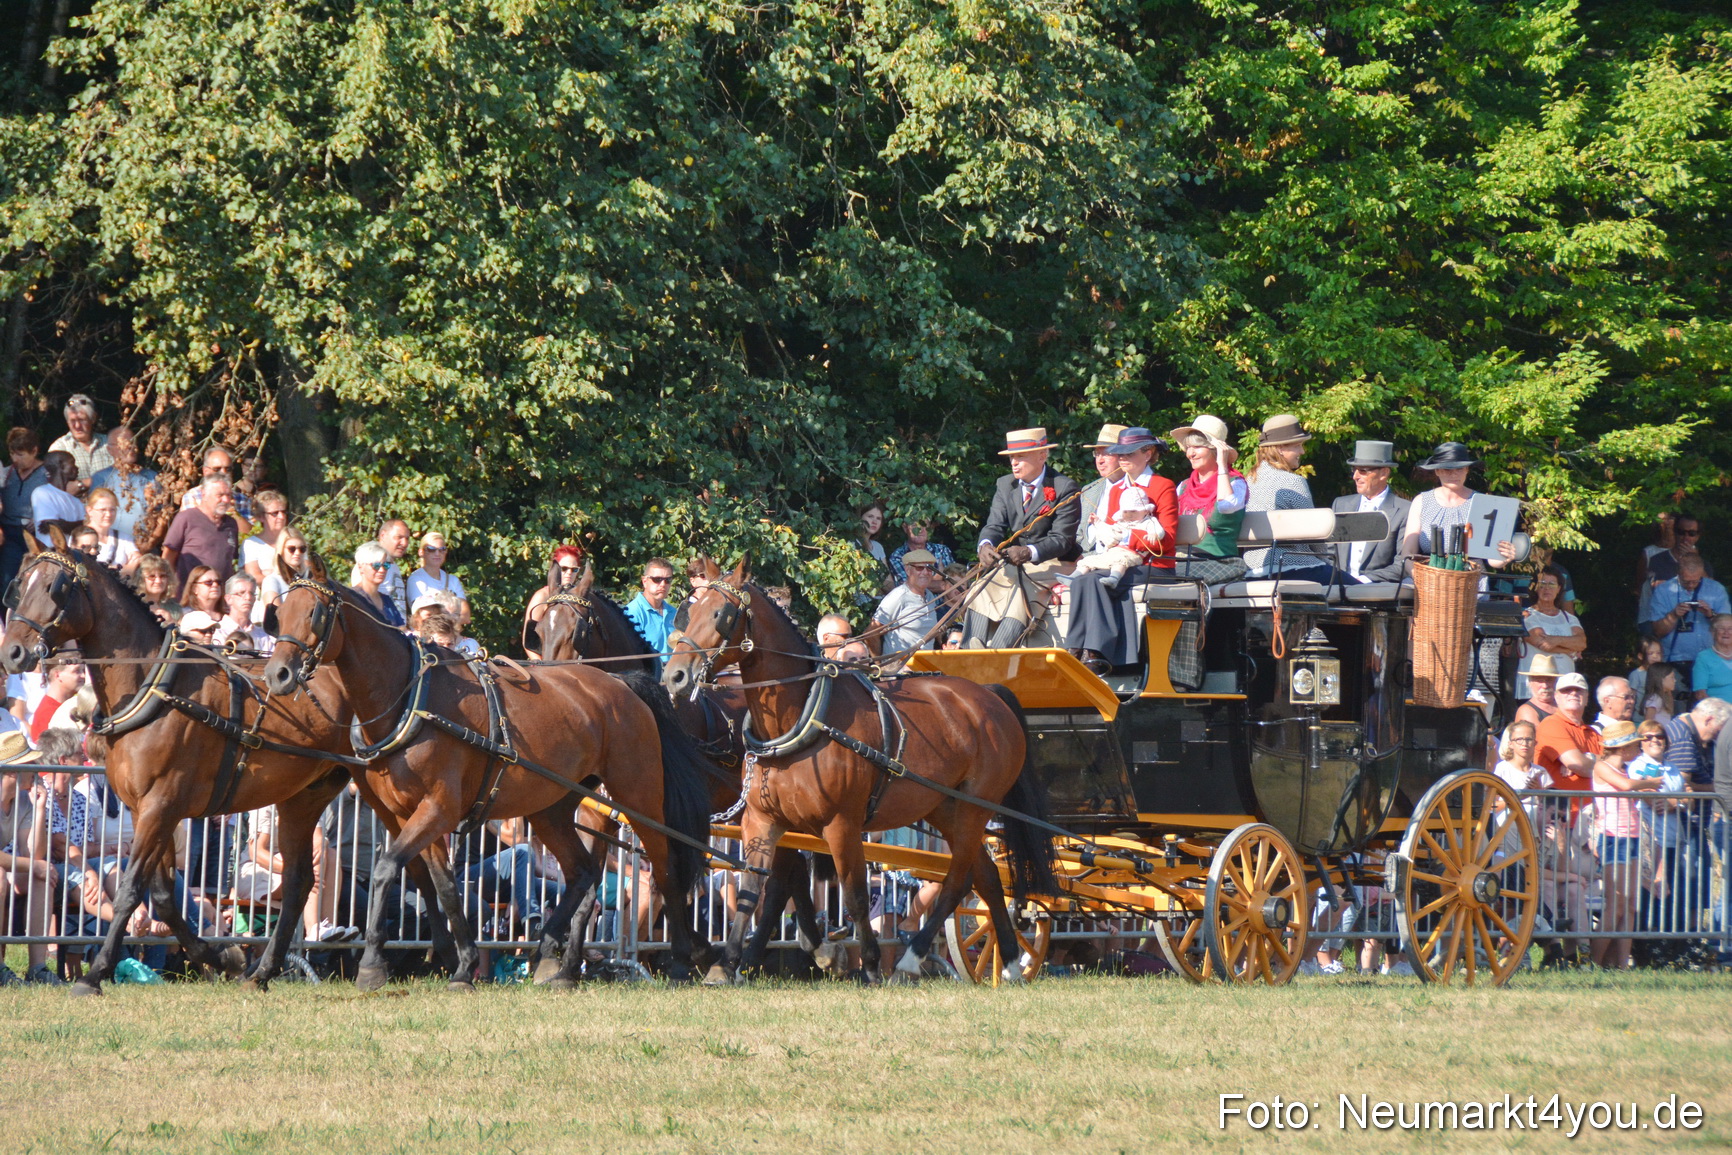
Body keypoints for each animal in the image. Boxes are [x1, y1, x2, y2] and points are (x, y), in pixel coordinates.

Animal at [0, 531, 412, 995]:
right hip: (302, 797)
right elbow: (163, 898)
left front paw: (95, 973)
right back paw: (264, 969)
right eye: (20, 584)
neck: (154, 686)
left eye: (56, 587)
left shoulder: (161, 806)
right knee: (299, 881)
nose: (13, 652)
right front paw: (222, 956)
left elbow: (131, 890)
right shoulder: (150, 811)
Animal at [262, 555, 715, 988]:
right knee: (583, 872)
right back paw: (552, 956)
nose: (277, 674)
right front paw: (463, 964)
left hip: (639, 796)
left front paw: (373, 965)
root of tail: (623, 685)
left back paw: (680, 959)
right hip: (551, 806)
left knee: (665, 867)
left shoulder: (438, 808)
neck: (412, 699)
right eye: (278, 614)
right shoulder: (410, 814)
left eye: (315, 613)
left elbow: (387, 869)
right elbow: (444, 886)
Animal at [538, 562, 829, 972]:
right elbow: (589, 883)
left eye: (576, 631)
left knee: (781, 877)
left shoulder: (671, 812)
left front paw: (689, 953)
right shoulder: (598, 813)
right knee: (792, 872)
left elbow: (670, 876)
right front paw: (567, 964)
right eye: (538, 630)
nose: (553, 684)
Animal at [662, 557, 1058, 985]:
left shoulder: (842, 823)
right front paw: (726, 962)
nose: (674, 675)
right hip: (945, 807)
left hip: (974, 806)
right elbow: (752, 889)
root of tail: (990, 696)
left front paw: (868, 963)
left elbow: (853, 894)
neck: (799, 717)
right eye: (687, 613)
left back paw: (911, 958)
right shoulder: (761, 819)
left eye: (721, 614)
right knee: (985, 876)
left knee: (958, 879)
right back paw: (1011, 961)